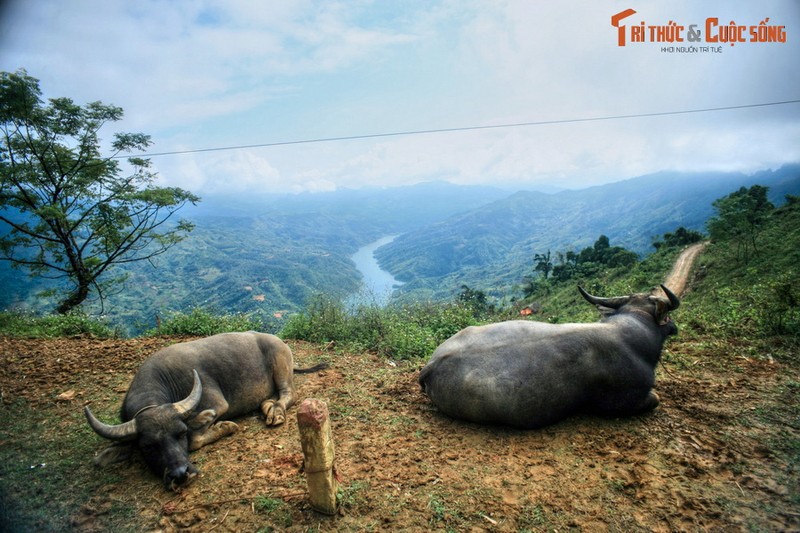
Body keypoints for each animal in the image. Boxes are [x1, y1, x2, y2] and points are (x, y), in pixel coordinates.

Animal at [83, 330, 324, 488]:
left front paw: (224, 427)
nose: (181, 474)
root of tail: (279, 341)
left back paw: (275, 412)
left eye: (179, 434)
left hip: (280, 365)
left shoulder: (217, 404)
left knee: (288, 393)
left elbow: (195, 437)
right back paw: (267, 407)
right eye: (147, 446)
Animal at [418, 282, 680, 428]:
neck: (632, 332)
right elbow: (655, 399)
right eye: (667, 315)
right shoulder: (631, 398)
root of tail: (432, 365)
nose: (674, 327)